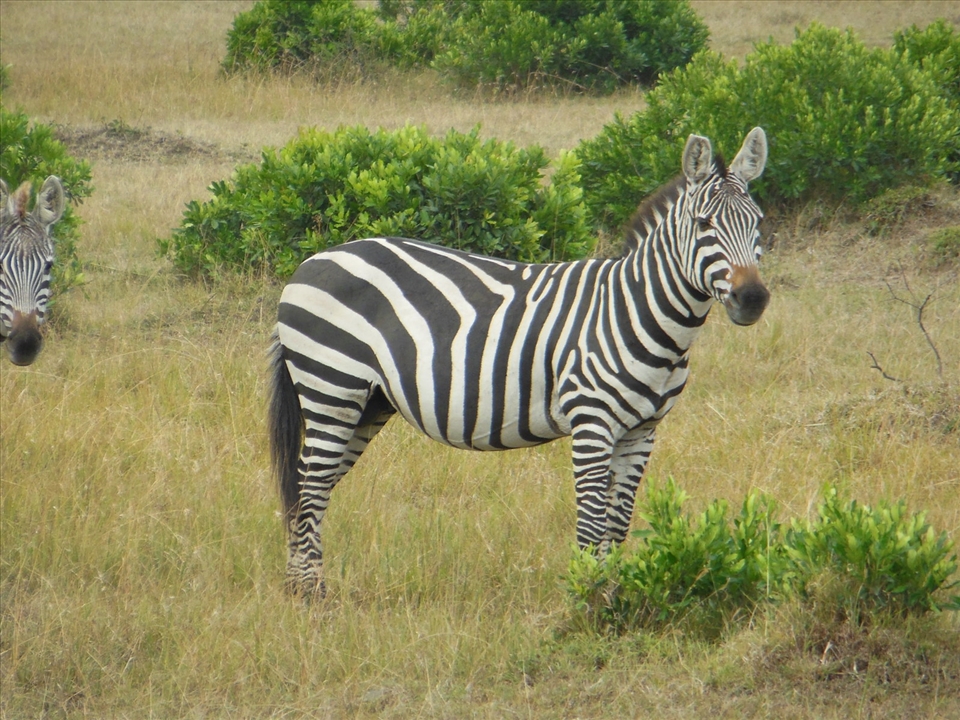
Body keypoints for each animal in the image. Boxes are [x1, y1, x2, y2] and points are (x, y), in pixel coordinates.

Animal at [269, 128, 770, 598]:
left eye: (758, 223)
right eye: (703, 224)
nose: (752, 299)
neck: (637, 312)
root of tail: (311, 262)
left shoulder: (642, 431)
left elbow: (618, 524)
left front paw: (613, 597)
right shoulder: (592, 423)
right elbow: (591, 525)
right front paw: (586, 605)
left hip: (368, 402)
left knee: (312, 486)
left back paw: (299, 588)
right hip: (332, 385)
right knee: (310, 487)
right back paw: (311, 597)